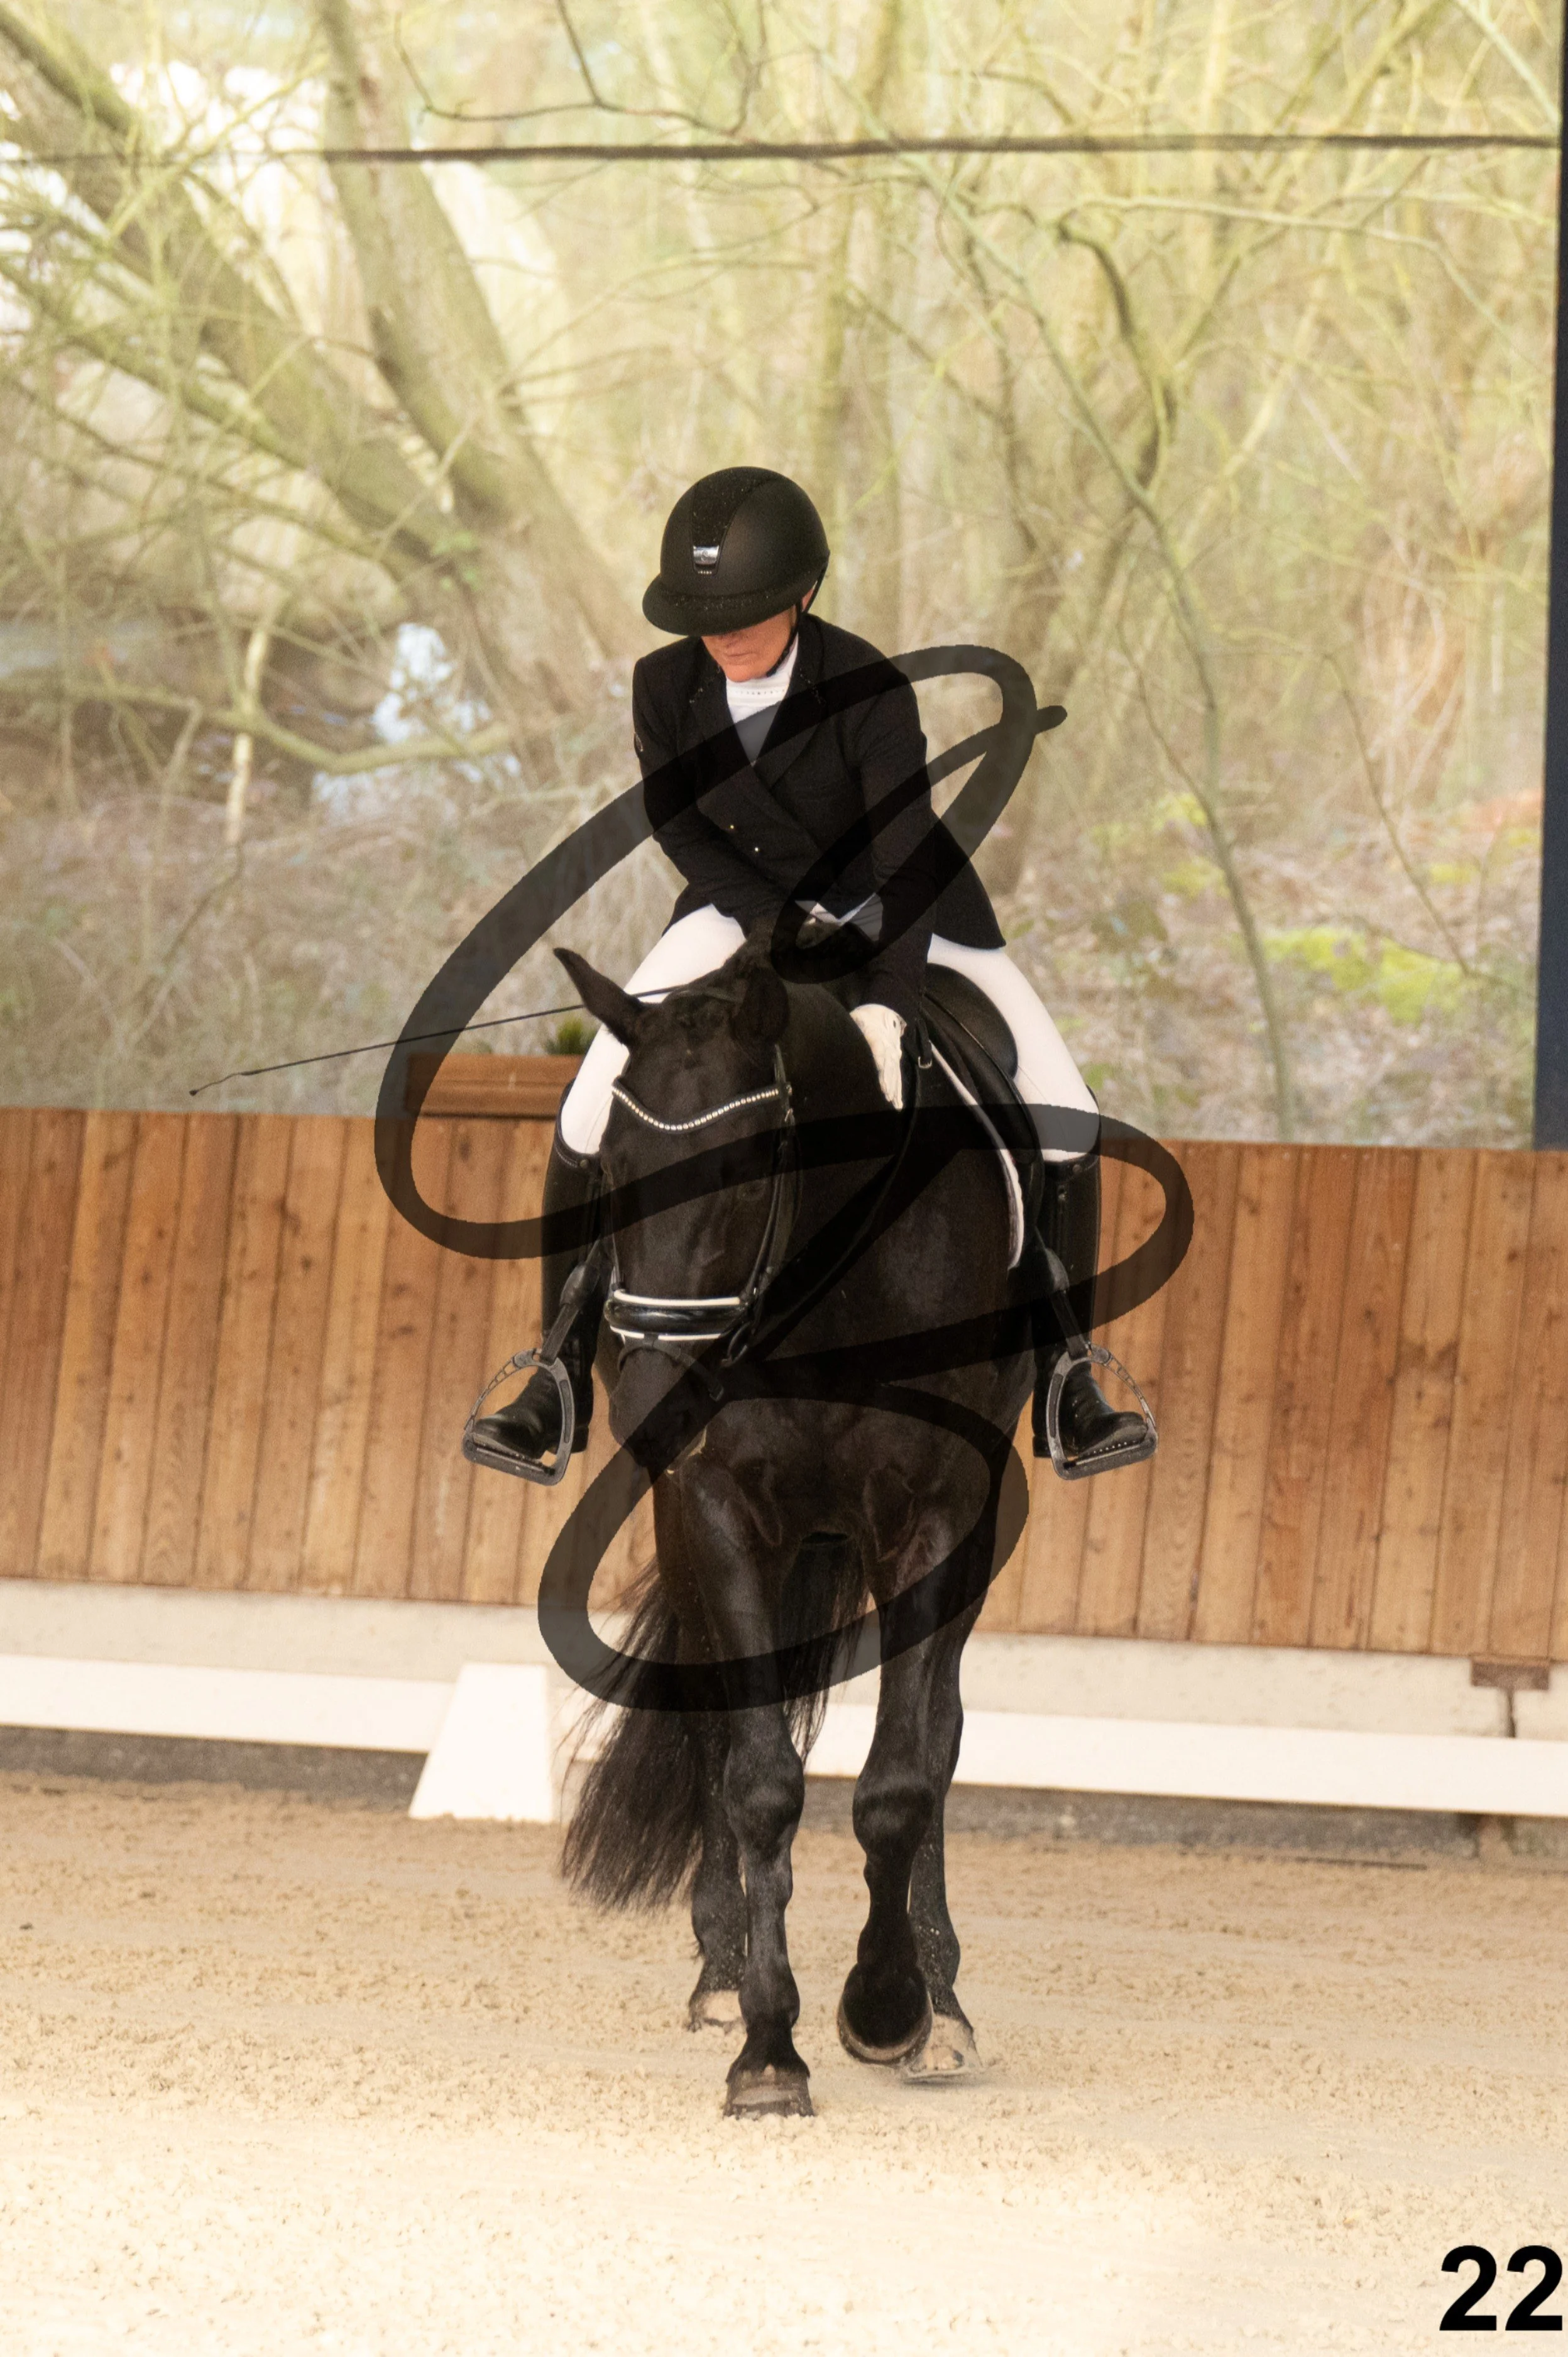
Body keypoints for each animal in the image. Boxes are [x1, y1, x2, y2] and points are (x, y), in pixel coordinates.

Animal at [553, 935, 1039, 2119]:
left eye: (742, 1174)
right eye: (609, 1171)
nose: (653, 1402)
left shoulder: (935, 1520)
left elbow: (901, 1781)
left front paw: (888, 2006)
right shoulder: (721, 1512)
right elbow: (760, 1778)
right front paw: (770, 2046)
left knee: (938, 1734)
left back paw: (940, 1997)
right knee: (714, 1729)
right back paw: (722, 1974)